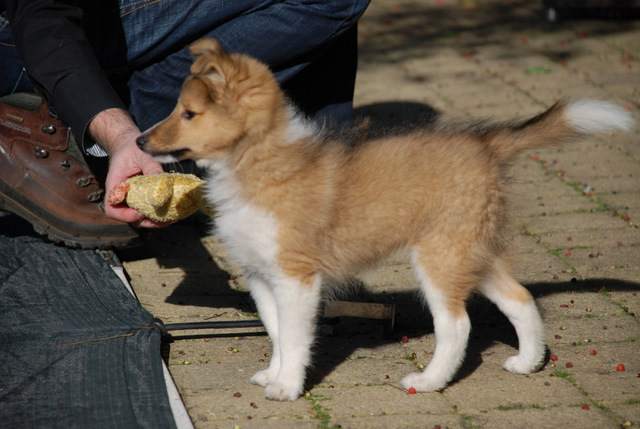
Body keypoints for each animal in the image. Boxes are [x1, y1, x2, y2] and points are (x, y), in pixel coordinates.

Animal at [136, 38, 633, 401]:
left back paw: (428, 382)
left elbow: (295, 336)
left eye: (189, 113)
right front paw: (273, 376)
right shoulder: (261, 275)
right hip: (469, 250)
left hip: (437, 256)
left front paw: (288, 388)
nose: (140, 141)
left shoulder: (297, 277)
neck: (256, 162)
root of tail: (485, 145)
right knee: (520, 298)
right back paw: (526, 363)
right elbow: (276, 331)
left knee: (457, 325)